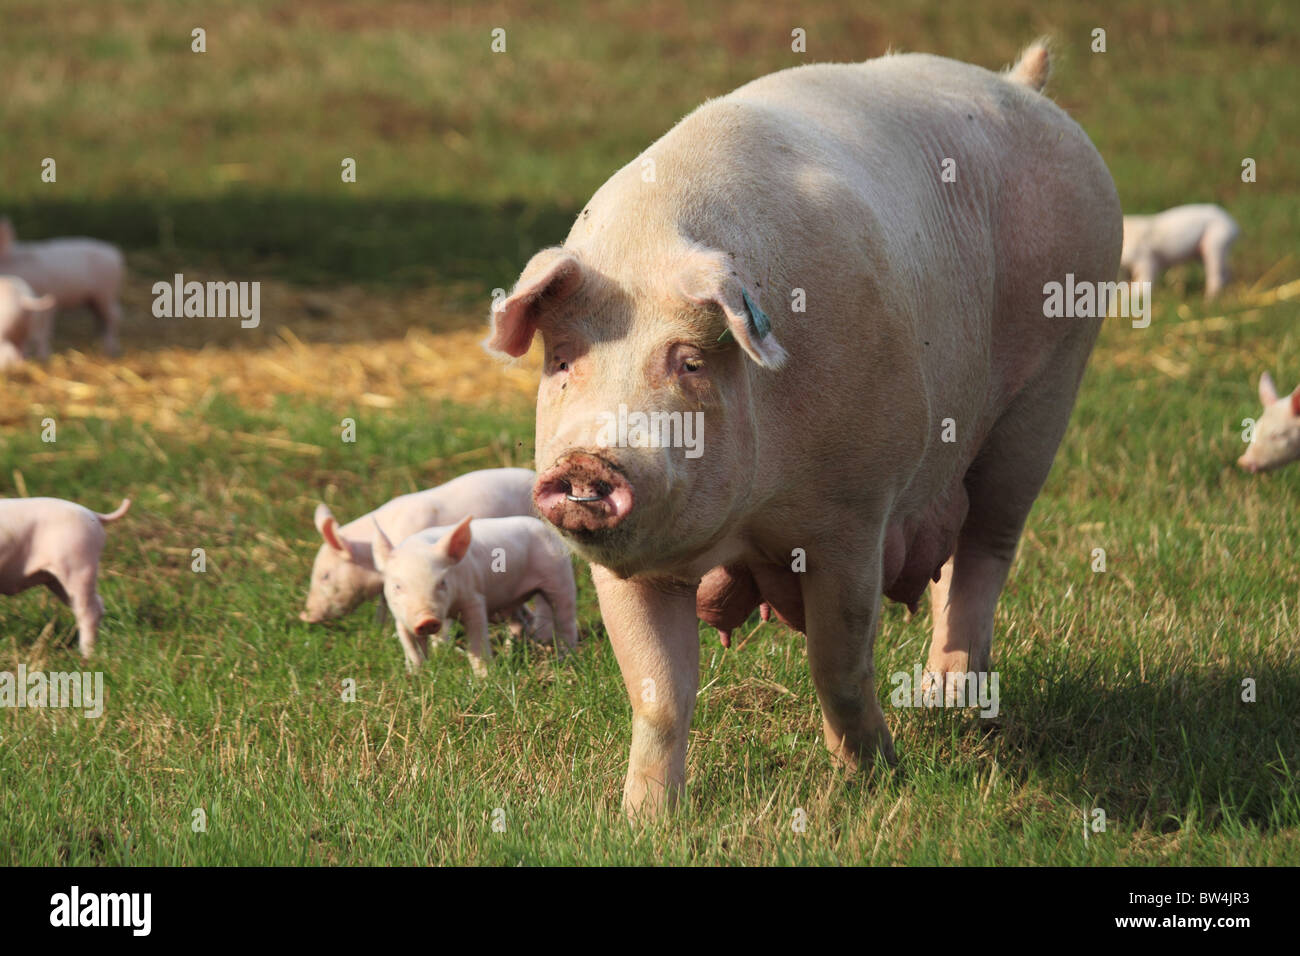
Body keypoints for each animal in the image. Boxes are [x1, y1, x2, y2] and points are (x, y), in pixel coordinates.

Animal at [0, 218, 126, 356]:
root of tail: (114, 252)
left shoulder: (46, 300)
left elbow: (43, 331)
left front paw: (43, 355)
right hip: (93, 299)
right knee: (101, 318)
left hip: (106, 292)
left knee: (115, 315)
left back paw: (110, 349)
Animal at [0, 497, 131, 656]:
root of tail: (93, 514)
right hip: (56, 580)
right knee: (94, 605)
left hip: (79, 565)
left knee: (89, 611)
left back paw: (86, 655)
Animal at [372, 515, 579, 676]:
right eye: (398, 586)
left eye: (442, 583)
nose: (427, 619)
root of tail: (543, 527)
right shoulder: (399, 617)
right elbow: (410, 646)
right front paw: (415, 674)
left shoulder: (474, 598)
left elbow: (477, 639)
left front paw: (484, 678)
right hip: (510, 600)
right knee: (521, 621)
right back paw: (510, 650)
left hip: (559, 575)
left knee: (565, 615)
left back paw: (565, 655)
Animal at [486, 42, 1121, 816]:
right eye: (563, 361)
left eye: (689, 362)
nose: (587, 461)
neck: (748, 520)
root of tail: (1022, 86)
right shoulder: (627, 567)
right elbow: (659, 692)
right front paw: (643, 820)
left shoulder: (852, 515)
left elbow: (838, 664)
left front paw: (874, 778)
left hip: (1051, 383)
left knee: (987, 548)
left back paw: (950, 700)